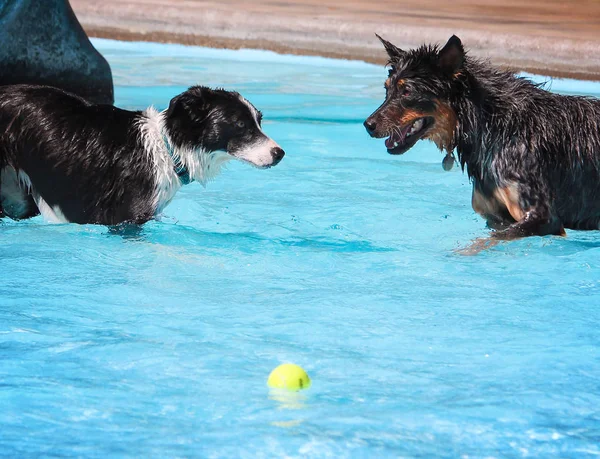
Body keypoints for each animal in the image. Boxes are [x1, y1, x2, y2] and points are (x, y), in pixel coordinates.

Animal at [364, 35, 600, 244]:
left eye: (406, 91)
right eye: (387, 88)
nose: (368, 125)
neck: (491, 126)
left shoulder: (542, 217)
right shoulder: (496, 216)